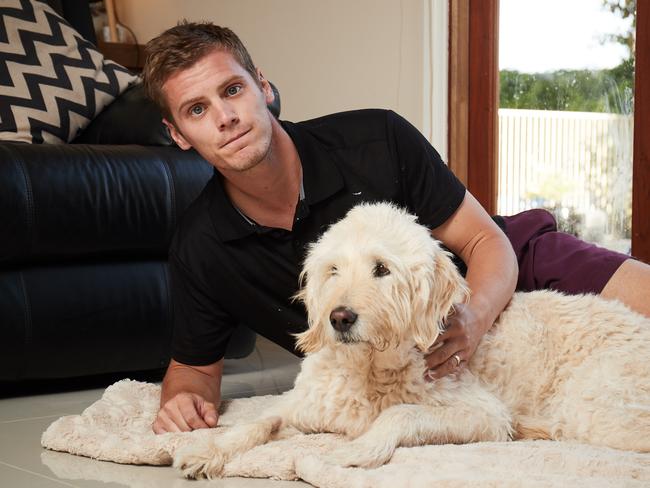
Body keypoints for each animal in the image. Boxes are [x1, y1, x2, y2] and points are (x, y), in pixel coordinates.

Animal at [175, 202, 648, 480]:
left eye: (382, 269)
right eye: (333, 270)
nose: (339, 318)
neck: (370, 370)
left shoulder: (484, 416)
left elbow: (400, 414)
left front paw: (359, 450)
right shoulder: (304, 406)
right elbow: (257, 421)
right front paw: (209, 449)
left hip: (592, 410)